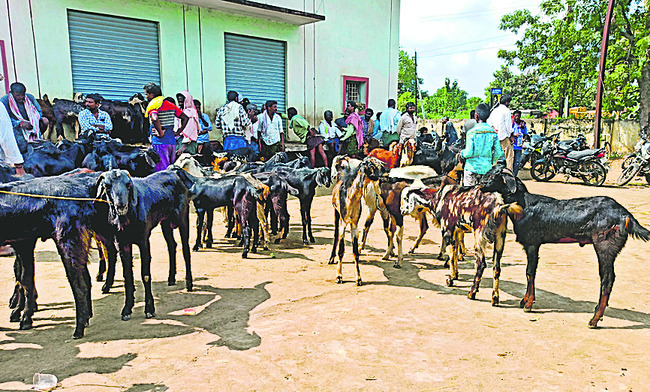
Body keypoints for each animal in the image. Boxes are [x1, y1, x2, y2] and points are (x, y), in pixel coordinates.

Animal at [478, 162, 644, 328]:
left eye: (493, 176)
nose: (480, 185)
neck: (523, 205)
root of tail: (626, 216)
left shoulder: (532, 243)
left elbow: (530, 272)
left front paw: (528, 304)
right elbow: (529, 272)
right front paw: (524, 301)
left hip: (605, 245)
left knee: (607, 279)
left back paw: (594, 319)